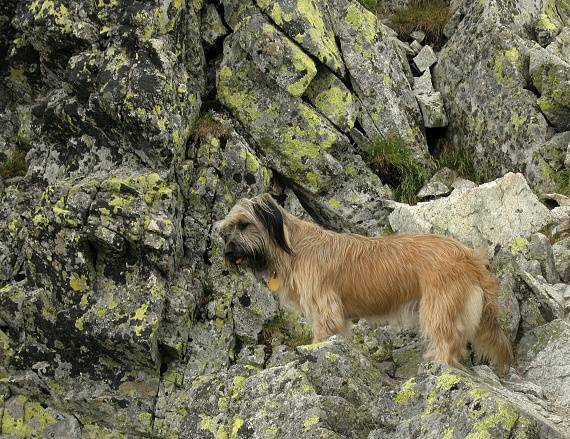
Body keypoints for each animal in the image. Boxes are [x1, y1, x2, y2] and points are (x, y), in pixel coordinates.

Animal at [215, 194, 512, 370]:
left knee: (448, 342)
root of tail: (471, 257)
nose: (228, 252)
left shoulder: (326, 312)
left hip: (438, 307)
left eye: (244, 224)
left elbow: (322, 335)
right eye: (226, 231)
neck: (293, 248)